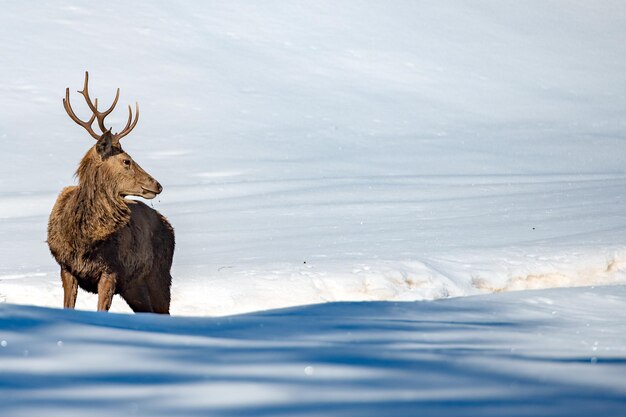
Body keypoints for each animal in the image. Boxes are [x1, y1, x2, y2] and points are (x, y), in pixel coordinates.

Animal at [46, 72, 174, 312]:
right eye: (127, 161)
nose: (158, 185)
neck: (85, 240)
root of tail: (168, 225)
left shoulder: (111, 271)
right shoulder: (66, 268)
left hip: (160, 274)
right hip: (134, 287)